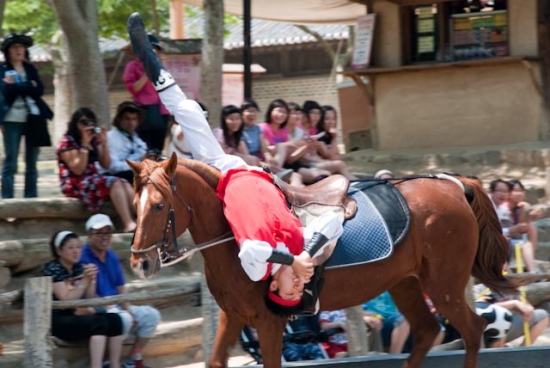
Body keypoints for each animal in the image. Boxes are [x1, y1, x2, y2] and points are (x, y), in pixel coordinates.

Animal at [128, 154, 516, 366]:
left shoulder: (269, 323)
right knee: (427, 331)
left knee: (472, 330)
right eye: (135, 205)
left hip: (443, 285)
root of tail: (453, 184)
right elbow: (214, 360)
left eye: (159, 206)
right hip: (406, 284)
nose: (139, 264)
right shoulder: (234, 316)